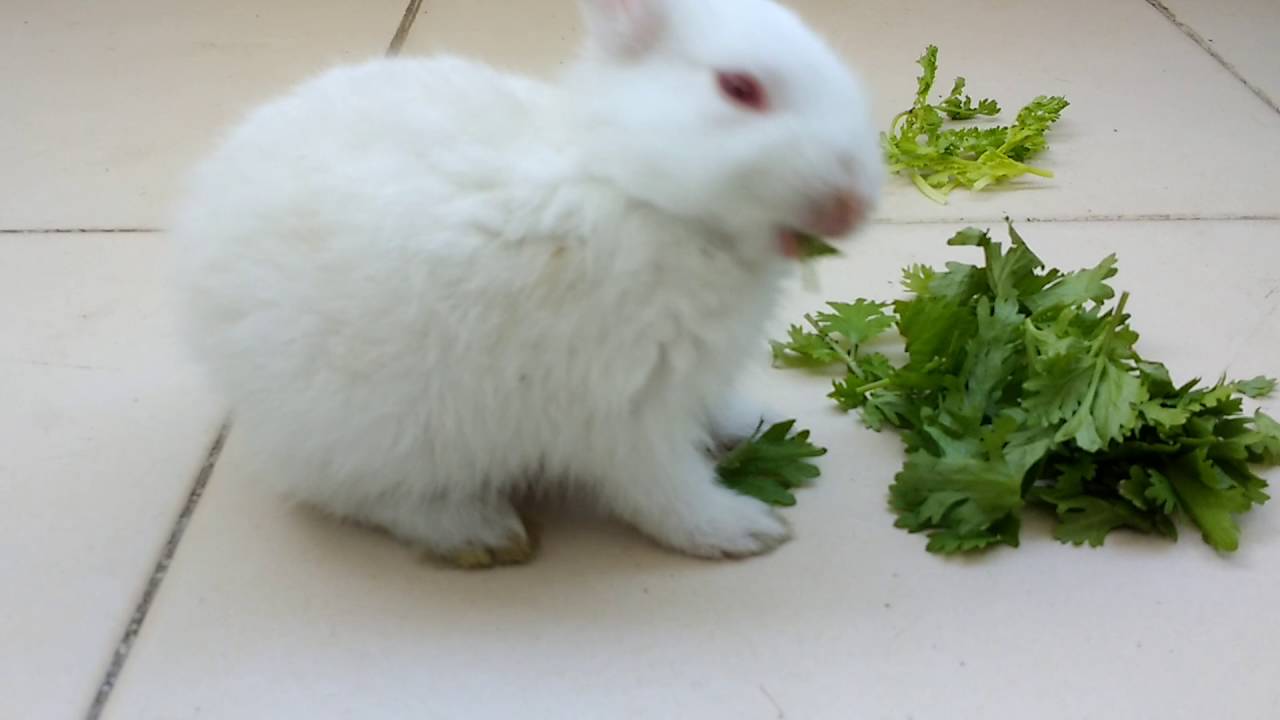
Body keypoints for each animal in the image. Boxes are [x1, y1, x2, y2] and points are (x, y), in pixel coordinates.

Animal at [175, 0, 882, 568]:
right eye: (739, 88)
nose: (854, 204)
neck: (634, 188)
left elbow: (708, 416)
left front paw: (750, 424)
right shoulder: (623, 405)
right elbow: (662, 486)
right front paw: (740, 530)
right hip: (378, 432)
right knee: (359, 495)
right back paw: (480, 534)